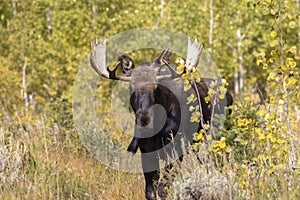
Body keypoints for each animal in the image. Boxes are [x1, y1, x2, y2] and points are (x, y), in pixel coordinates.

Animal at [90, 38, 233, 199]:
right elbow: (150, 192)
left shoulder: (175, 151)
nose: (144, 119)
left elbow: (163, 189)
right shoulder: (146, 152)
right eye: (131, 87)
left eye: (156, 87)